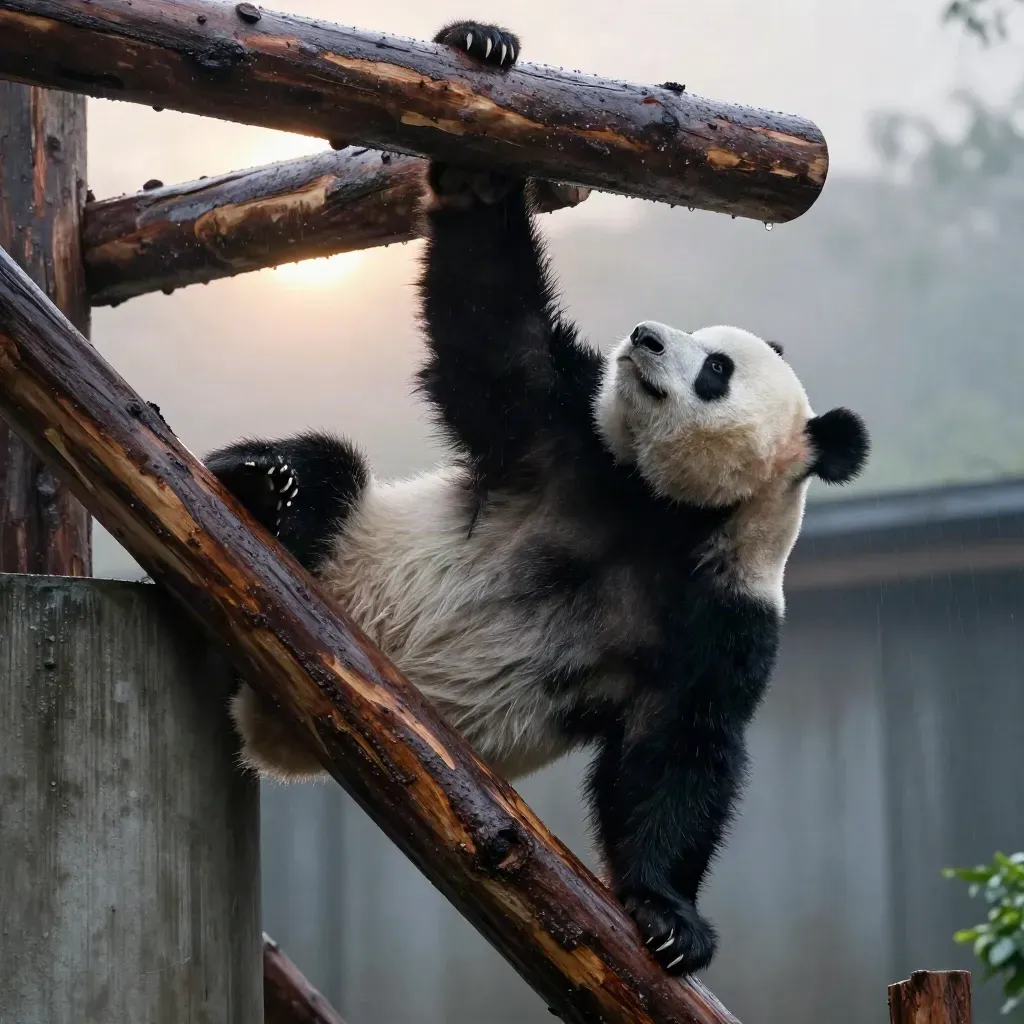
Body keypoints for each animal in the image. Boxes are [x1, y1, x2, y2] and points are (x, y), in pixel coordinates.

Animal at [205, 19, 870, 976]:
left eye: (714, 367)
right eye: (692, 334)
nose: (643, 336)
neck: (658, 506)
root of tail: (269, 732)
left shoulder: (727, 610)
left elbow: (681, 745)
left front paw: (671, 919)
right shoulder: (566, 435)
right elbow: (496, 334)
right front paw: (484, 68)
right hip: (347, 553)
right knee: (328, 474)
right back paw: (265, 486)